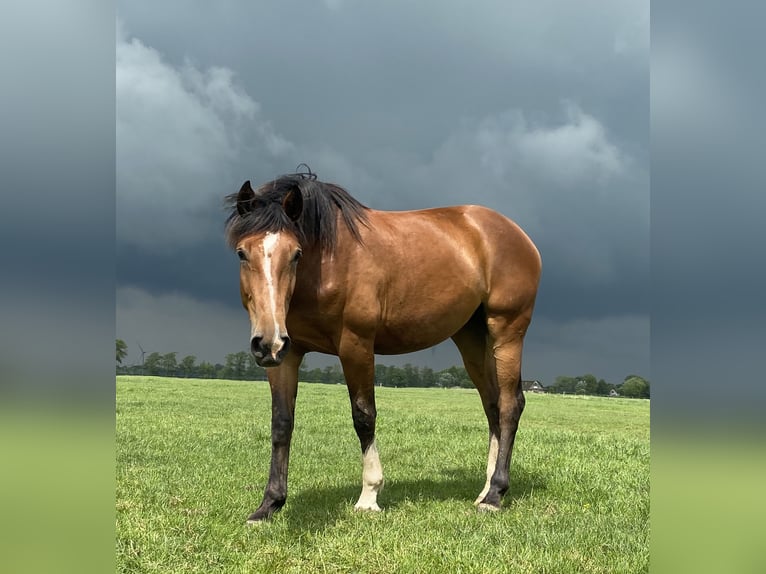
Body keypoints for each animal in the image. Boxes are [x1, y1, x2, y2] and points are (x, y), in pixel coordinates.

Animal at [225, 169, 544, 524]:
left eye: (295, 253)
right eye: (242, 253)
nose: (266, 342)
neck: (328, 261)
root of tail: (517, 234)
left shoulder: (356, 345)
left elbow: (363, 416)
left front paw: (369, 496)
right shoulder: (287, 354)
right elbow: (281, 422)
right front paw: (269, 504)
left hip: (507, 331)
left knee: (509, 405)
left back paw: (495, 494)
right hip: (471, 338)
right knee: (492, 405)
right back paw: (485, 490)